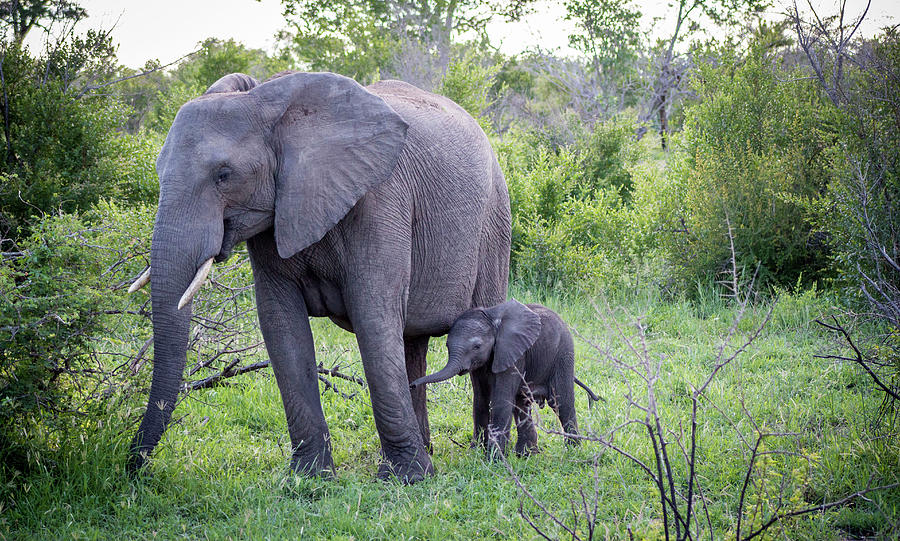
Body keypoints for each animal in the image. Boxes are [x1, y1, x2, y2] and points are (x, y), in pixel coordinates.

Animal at [126, 71, 510, 480]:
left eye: (223, 175)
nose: (133, 467)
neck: (271, 103)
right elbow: (281, 327)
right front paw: (308, 478)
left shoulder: (380, 200)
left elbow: (373, 318)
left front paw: (406, 479)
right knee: (411, 344)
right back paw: (433, 449)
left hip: (494, 222)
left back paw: (487, 454)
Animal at [412, 300, 600, 456]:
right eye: (446, 345)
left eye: (477, 346)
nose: (412, 384)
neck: (491, 319)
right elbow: (480, 400)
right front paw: (476, 453)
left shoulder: (513, 354)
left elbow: (500, 401)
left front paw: (493, 460)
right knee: (522, 403)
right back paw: (526, 454)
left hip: (563, 354)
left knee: (560, 402)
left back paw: (573, 451)